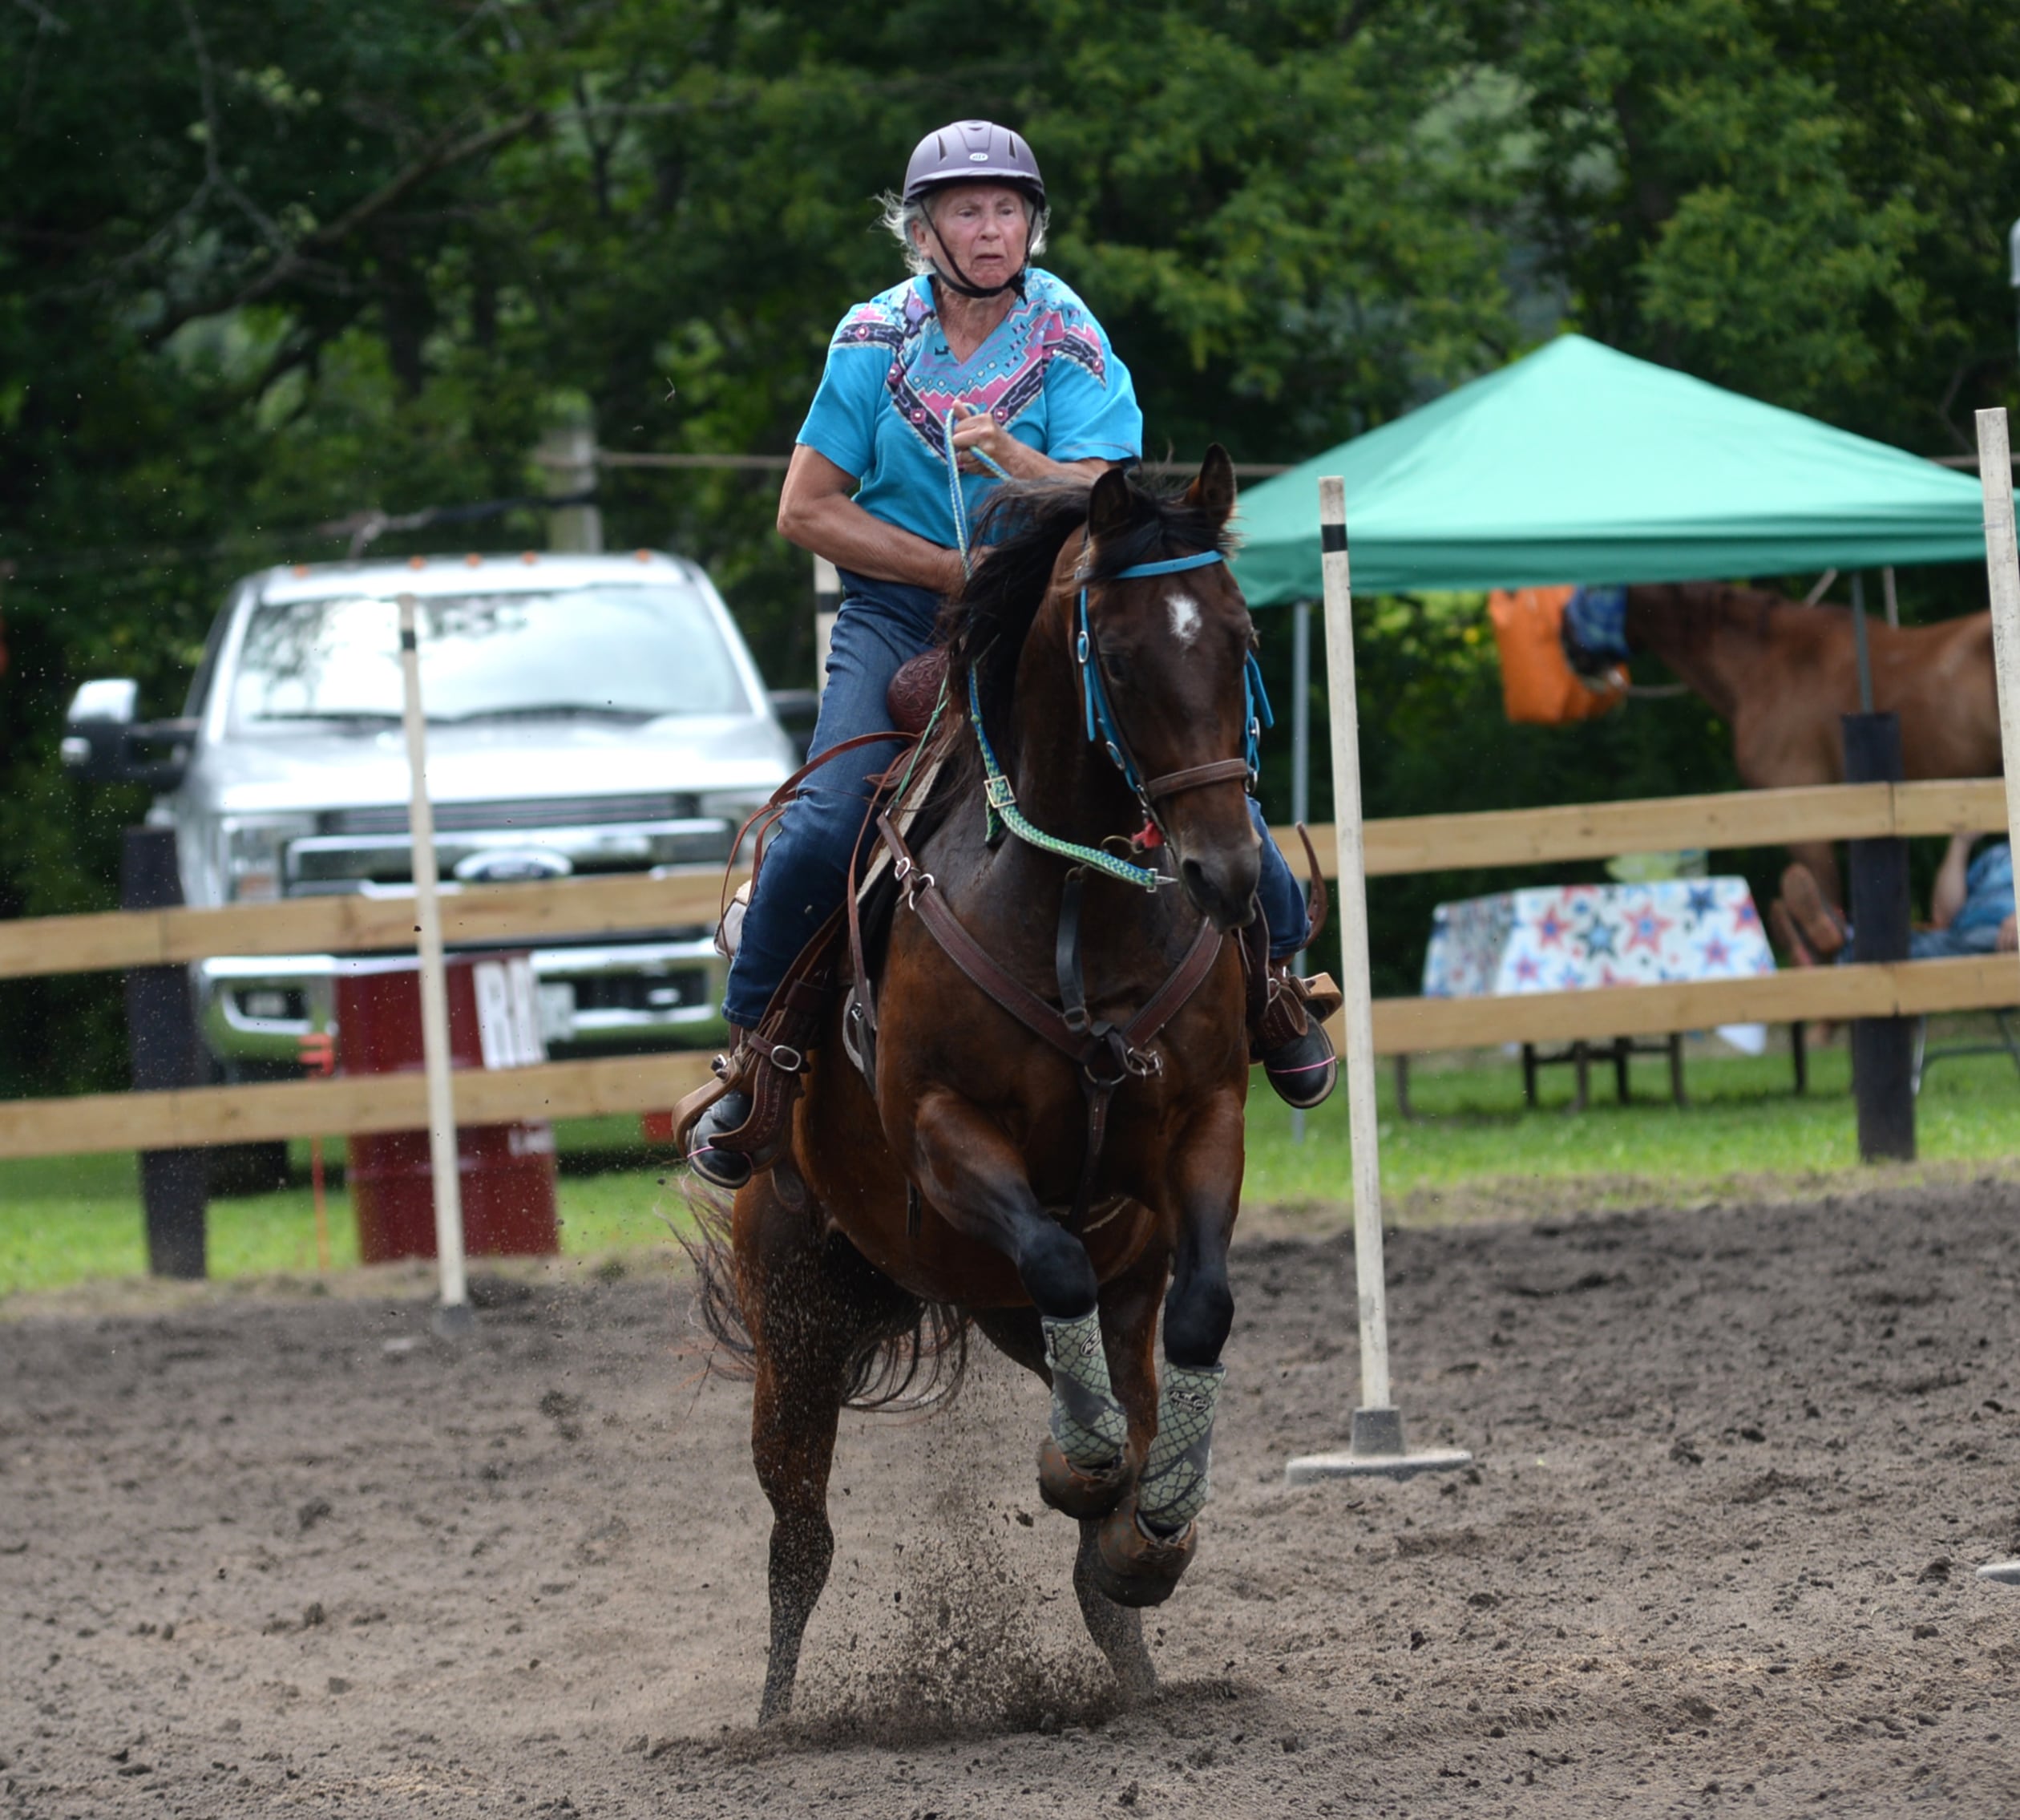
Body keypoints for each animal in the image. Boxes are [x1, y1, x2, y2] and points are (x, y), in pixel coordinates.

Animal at [686, 450, 1268, 1721]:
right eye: (1124, 657)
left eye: (1240, 635)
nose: (1228, 871)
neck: (1072, 903)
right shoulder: (947, 1133)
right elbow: (1050, 1255)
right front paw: (1080, 1462)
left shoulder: (1204, 1121)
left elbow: (1205, 1305)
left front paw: (1156, 1512)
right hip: (796, 1319)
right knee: (799, 1542)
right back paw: (772, 1720)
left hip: (1056, 1302)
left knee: (1106, 1466)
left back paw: (1137, 1625)